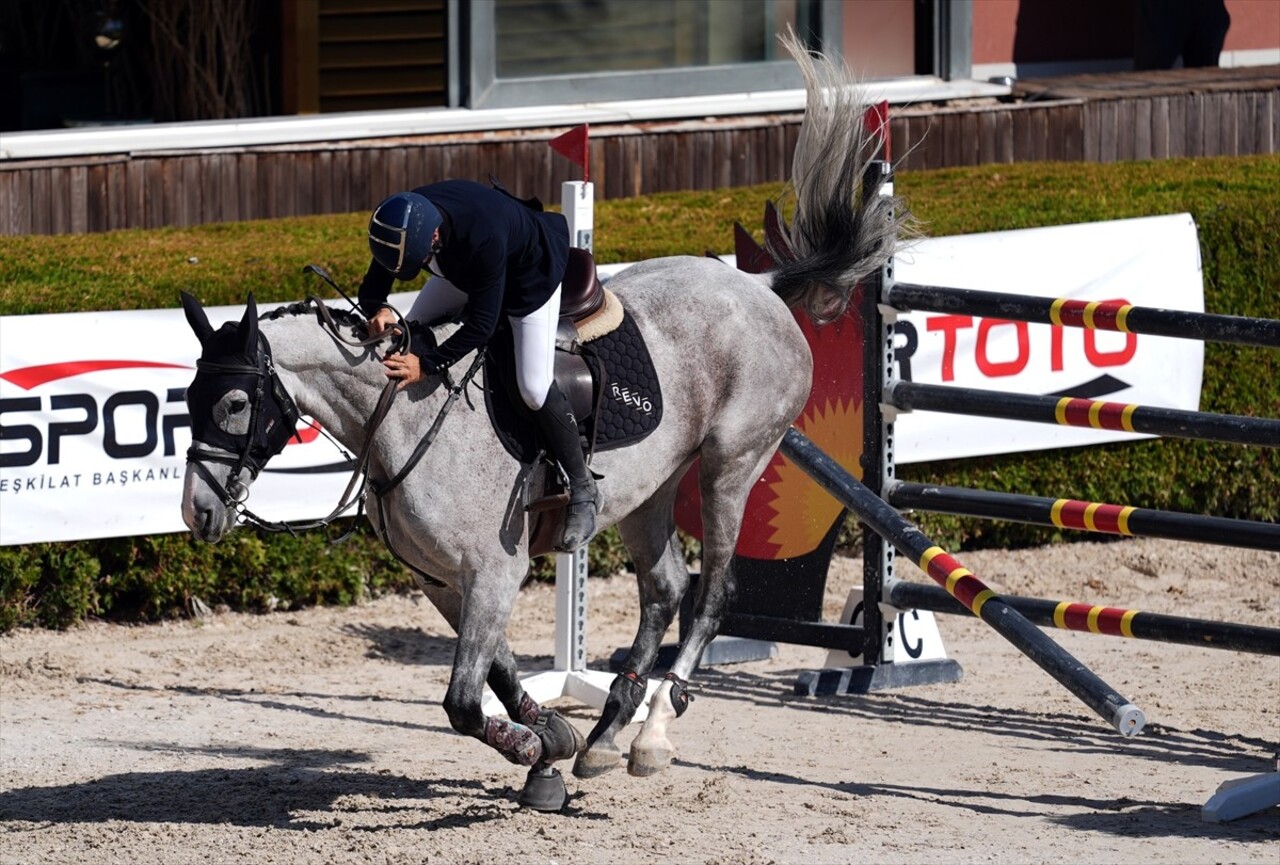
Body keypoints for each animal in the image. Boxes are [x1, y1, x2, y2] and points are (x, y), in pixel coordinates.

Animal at [177, 38, 901, 808]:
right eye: (186, 399)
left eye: (232, 405)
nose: (197, 512)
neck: (402, 422)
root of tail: (757, 286)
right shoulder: (443, 581)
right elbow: (494, 672)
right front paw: (552, 739)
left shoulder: (494, 569)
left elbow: (464, 701)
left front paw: (533, 744)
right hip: (648, 488)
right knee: (664, 589)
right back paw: (608, 732)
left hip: (732, 464)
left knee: (711, 595)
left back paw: (652, 730)